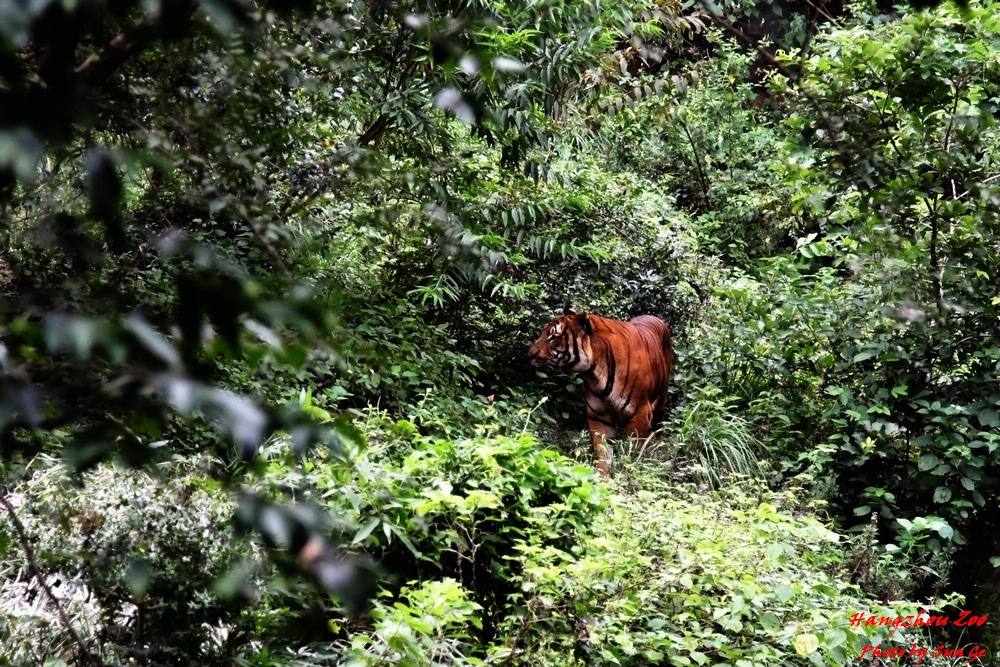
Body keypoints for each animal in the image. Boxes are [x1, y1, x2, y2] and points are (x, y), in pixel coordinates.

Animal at [528, 306, 674, 477]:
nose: (529, 355)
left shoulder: (639, 415)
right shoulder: (599, 416)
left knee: (656, 436)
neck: (595, 372)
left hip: (660, 406)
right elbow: (603, 453)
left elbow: (633, 454)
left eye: (554, 337)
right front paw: (603, 478)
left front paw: (630, 474)